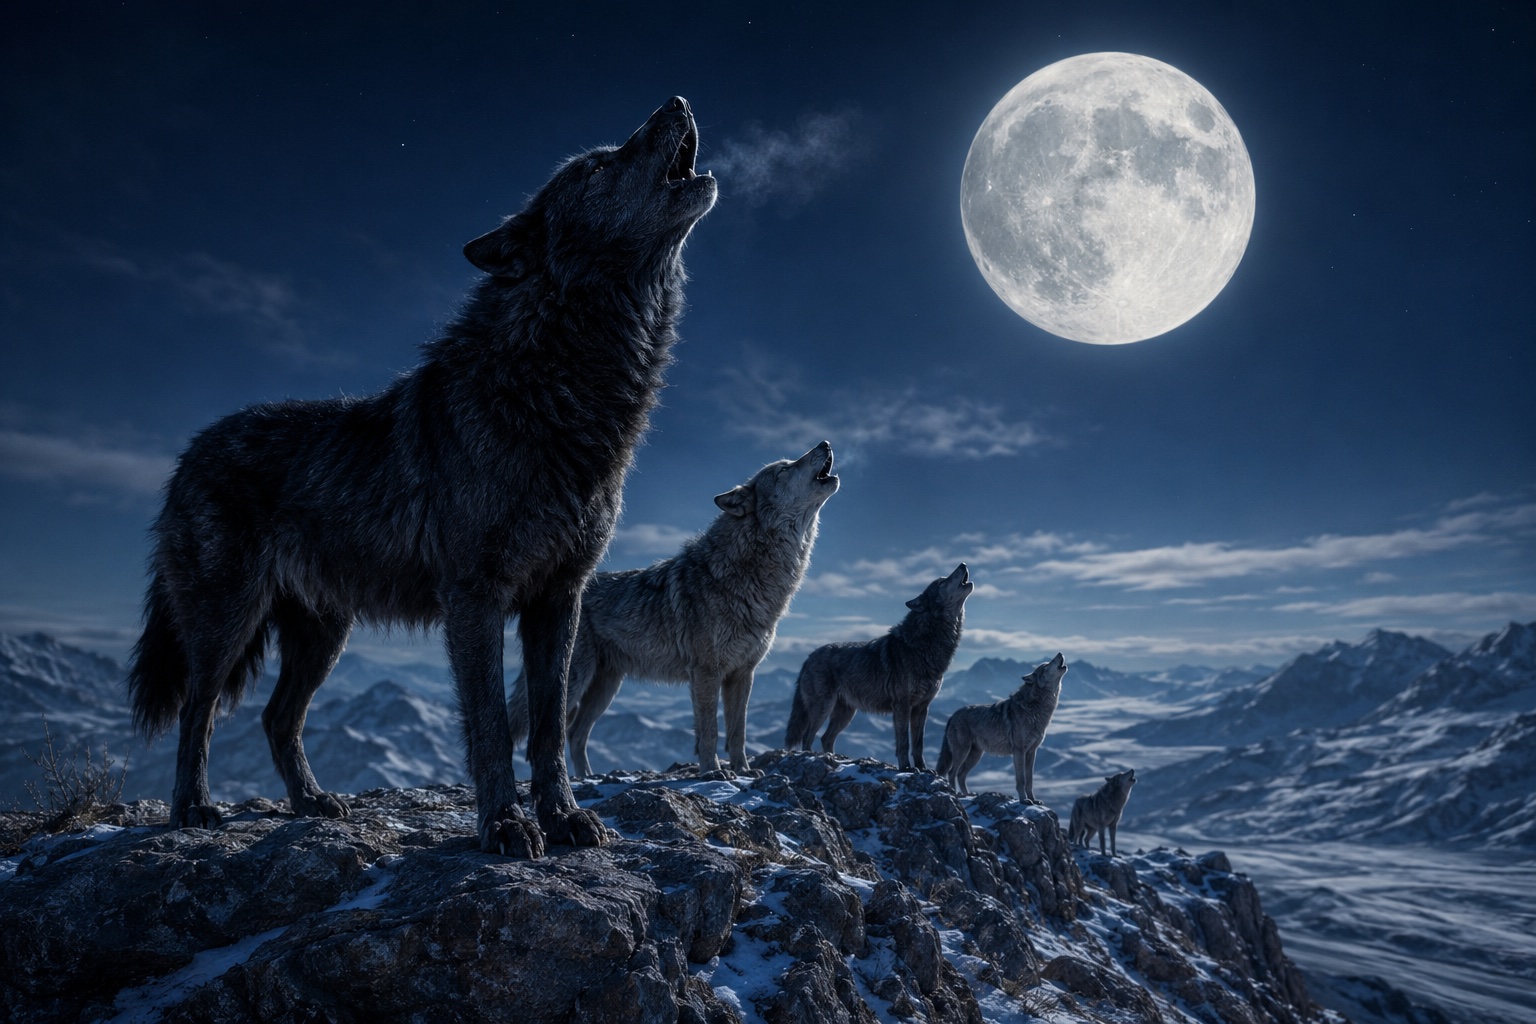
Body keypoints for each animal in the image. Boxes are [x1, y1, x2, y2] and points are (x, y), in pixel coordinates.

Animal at [125, 97, 717, 858]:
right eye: (597, 166)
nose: (677, 102)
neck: (553, 388)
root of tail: (188, 452)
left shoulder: (559, 598)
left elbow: (549, 727)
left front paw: (564, 818)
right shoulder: (476, 596)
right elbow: (492, 726)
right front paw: (505, 827)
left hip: (323, 634)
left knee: (277, 718)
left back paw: (312, 802)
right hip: (228, 621)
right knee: (197, 709)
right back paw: (193, 808)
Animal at [507, 443, 838, 777]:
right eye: (784, 469)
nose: (824, 444)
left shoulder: (743, 674)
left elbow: (738, 731)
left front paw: (743, 770)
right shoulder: (705, 673)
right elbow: (710, 731)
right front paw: (713, 772)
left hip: (606, 687)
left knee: (576, 734)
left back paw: (587, 777)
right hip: (575, 682)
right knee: (545, 732)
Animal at [784, 563, 972, 770]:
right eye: (942, 582)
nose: (963, 564)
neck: (923, 644)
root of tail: (808, 658)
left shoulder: (922, 709)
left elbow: (918, 744)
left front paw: (922, 769)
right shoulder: (902, 706)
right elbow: (904, 743)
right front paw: (905, 768)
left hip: (845, 714)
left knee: (826, 738)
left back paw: (833, 759)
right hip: (823, 708)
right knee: (807, 737)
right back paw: (813, 758)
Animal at [935, 653, 1068, 805]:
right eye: (1047, 665)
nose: (1060, 653)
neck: (1035, 708)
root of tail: (952, 716)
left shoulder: (1031, 753)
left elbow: (1030, 780)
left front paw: (1033, 800)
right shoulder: (1019, 751)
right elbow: (1021, 779)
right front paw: (1024, 800)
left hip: (975, 756)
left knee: (961, 774)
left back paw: (967, 794)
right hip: (962, 752)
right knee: (952, 772)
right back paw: (956, 794)